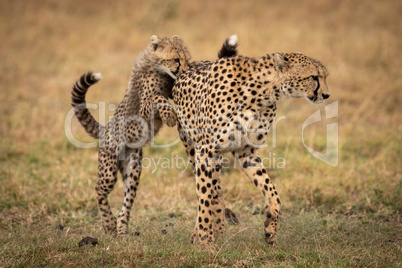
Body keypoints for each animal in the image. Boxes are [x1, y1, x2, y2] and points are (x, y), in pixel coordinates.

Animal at [71, 34, 239, 236]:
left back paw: (122, 229)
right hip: (108, 168)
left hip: (133, 169)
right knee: (99, 190)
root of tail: (106, 129)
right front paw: (169, 116)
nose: (185, 69)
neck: (160, 70)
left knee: (127, 200)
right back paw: (109, 223)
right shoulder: (145, 107)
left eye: (186, 58)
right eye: (176, 59)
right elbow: (158, 98)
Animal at [173, 51, 330, 248]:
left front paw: (271, 226)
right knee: (209, 189)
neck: (262, 93)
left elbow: (272, 191)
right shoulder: (206, 151)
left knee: (216, 188)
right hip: (193, 148)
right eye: (314, 77)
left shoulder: (246, 151)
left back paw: (220, 227)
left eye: (324, 76)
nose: (326, 95)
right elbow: (204, 197)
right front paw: (206, 241)